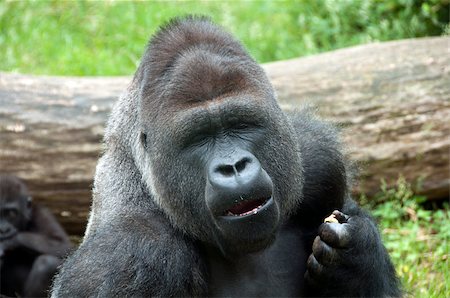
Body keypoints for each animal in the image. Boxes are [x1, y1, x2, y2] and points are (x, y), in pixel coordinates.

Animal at [51, 17, 400, 296]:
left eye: (240, 124)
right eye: (198, 138)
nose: (233, 167)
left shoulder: (319, 159)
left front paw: (355, 261)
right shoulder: (129, 258)